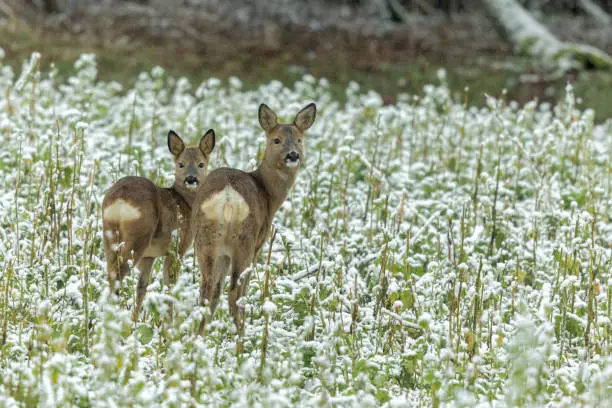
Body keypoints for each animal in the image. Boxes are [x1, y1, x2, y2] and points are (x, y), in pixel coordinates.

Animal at [105, 129, 218, 320]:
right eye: (181, 164)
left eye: (201, 164)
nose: (191, 179)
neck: (185, 203)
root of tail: (120, 199)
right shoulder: (177, 249)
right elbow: (169, 287)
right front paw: (168, 324)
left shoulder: (150, 256)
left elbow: (141, 288)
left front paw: (135, 321)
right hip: (137, 239)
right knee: (117, 276)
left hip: (109, 236)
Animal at [184, 103, 318, 342]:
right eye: (276, 139)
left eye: (300, 139)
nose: (293, 155)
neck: (267, 193)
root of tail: (228, 199)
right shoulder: (258, 243)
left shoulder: (224, 252)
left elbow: (215, 292)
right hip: (244, 241)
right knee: (234, 294)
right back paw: (242, 337)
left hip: (205, 240)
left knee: (207, 291)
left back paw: (198, 338)